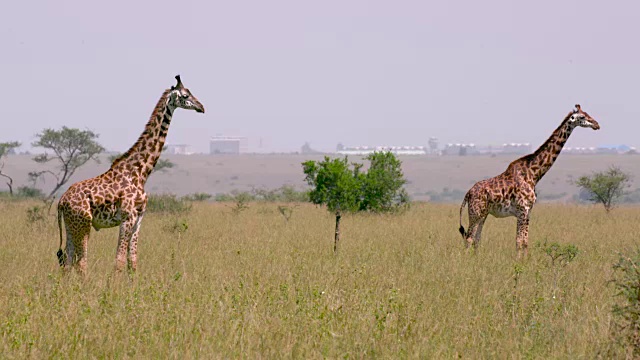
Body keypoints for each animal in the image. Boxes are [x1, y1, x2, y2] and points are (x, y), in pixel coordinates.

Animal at [56, 74, 205, 274]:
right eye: (185, 95)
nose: (201, 107)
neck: (140, 172)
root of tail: (61, 201)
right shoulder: (128, 217)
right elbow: (119, 260)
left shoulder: (139, 218)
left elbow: (132, 261)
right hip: (83, 224)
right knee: (81, 262)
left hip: (71, 225)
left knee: (67, 260)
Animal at [460, 103, 600, 256]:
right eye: (582, 117)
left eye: (588, 114)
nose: (597, 124)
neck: (533, 174)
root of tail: (468, 193)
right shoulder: (522, 210)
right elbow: (519, 242)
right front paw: (518, 260)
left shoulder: (528, 211)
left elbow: (525, 241)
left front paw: (525, 260)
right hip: (475, 213)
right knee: (469, 238)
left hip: (483, 214)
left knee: (476, 239)